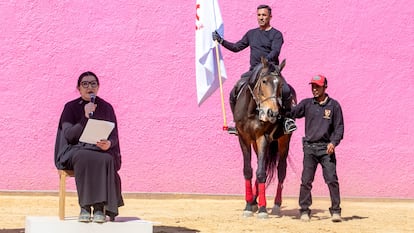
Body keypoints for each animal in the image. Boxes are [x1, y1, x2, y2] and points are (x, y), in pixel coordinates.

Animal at [234, 57, 296, 218]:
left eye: (280, 84)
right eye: (264, 81)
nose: (272, 113)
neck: (251, 110)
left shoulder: (263, 137)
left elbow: (261, 172)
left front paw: (262, 209)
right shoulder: (243, 138)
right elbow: (248, 171)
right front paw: (249, 205)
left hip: (284, 141)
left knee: (281, 170)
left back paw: (276, 205)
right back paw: (254, 201)